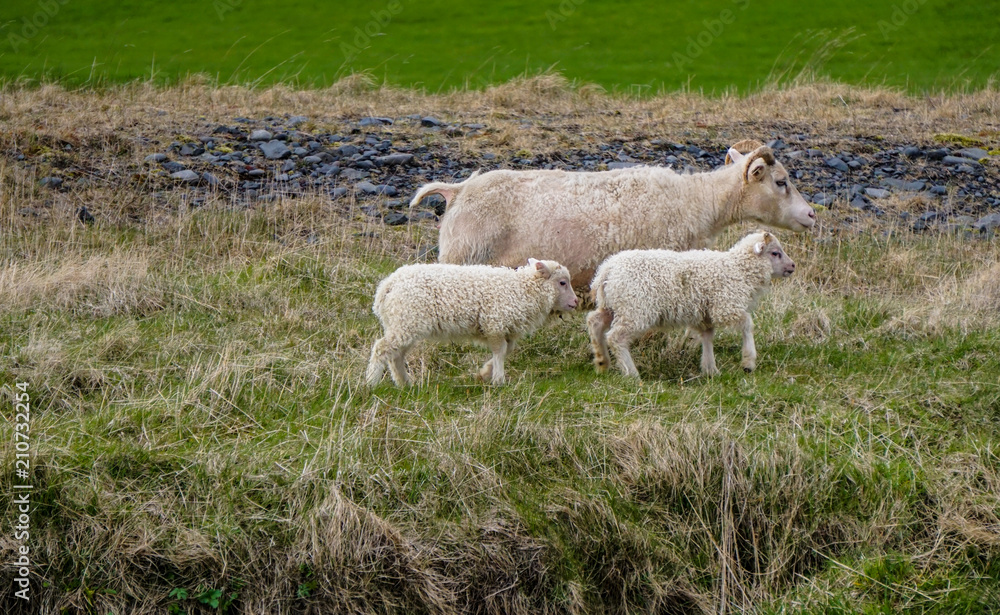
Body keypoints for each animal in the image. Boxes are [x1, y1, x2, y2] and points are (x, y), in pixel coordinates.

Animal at [366, 259, 578, 386]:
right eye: (562, 282)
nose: (576, 302)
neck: (522, 289)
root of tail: (388, 285)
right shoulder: (495, 323)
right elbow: (500, 351)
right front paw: (499, 379)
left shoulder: (505, 330)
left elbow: (506, 350)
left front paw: (485, 373)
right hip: (406, 321)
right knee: (381, 349)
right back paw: (371, 383)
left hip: (403, 323)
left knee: (396, 355)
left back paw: (405, 383)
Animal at [586, 231, 795, 378]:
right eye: (775, 253)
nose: (793, 266)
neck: (739, 269)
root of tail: (607, 269)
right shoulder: (726, 306)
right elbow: (747, 324)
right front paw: (748, 362)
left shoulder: (705, 315)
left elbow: (708, 336)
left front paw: (710, 369)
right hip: (635, 308)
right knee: (616, 338)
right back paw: (631, 373)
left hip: (614, 305)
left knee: (595, 322)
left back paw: (602, 361)